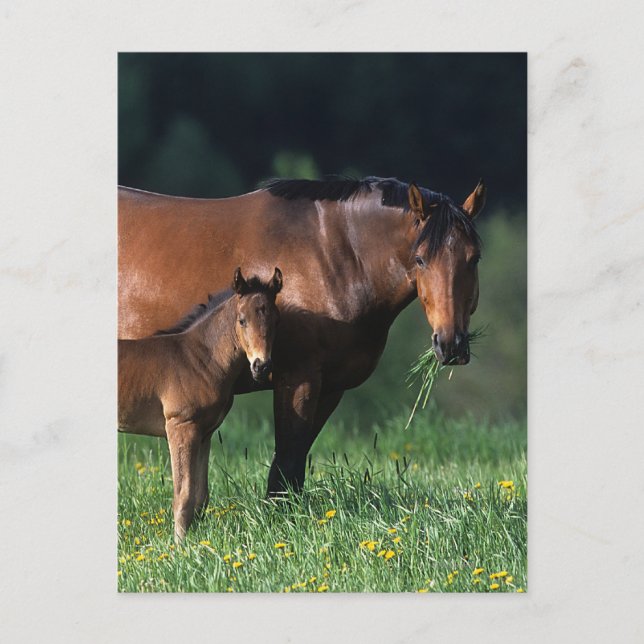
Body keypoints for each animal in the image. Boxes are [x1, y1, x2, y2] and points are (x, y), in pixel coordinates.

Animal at [118, 176, 486, 497]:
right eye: (420, 259)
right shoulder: (298, 378)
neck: (334, 255)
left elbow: (294, 467)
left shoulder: (330, 387)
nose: (451, 344)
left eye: (474, 259)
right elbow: (286, 462)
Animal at [118, 267, 282, 540]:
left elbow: (200, 495)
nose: (262, 366)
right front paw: (179, 545)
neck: (200, 358)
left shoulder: (204, 433)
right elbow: (183, 495)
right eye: (242, 320)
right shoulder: (180, 427)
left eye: (276, 320)